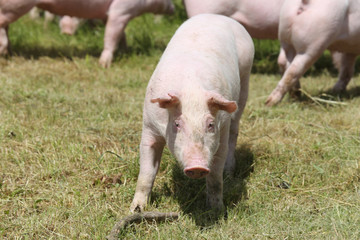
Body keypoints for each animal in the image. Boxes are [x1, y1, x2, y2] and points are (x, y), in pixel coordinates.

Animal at [0, 0, 174, 67]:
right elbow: (111, 35)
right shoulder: (121, 11)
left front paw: (125, 51)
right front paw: (103, 65)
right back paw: (3, 52)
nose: (172, 9)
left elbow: (121, 34)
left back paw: (9, 52)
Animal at [131, 13, 255, 214]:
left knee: (234, 131)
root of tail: (217, 16)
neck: (191, 90)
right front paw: (136, 210)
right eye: (177, 124)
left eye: (210, 125)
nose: (197, 165)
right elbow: (147, 172)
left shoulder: (221, 129)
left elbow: (215, 177)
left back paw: (229, 172)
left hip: (244, 81)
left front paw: (216, 211)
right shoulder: (149, 126)